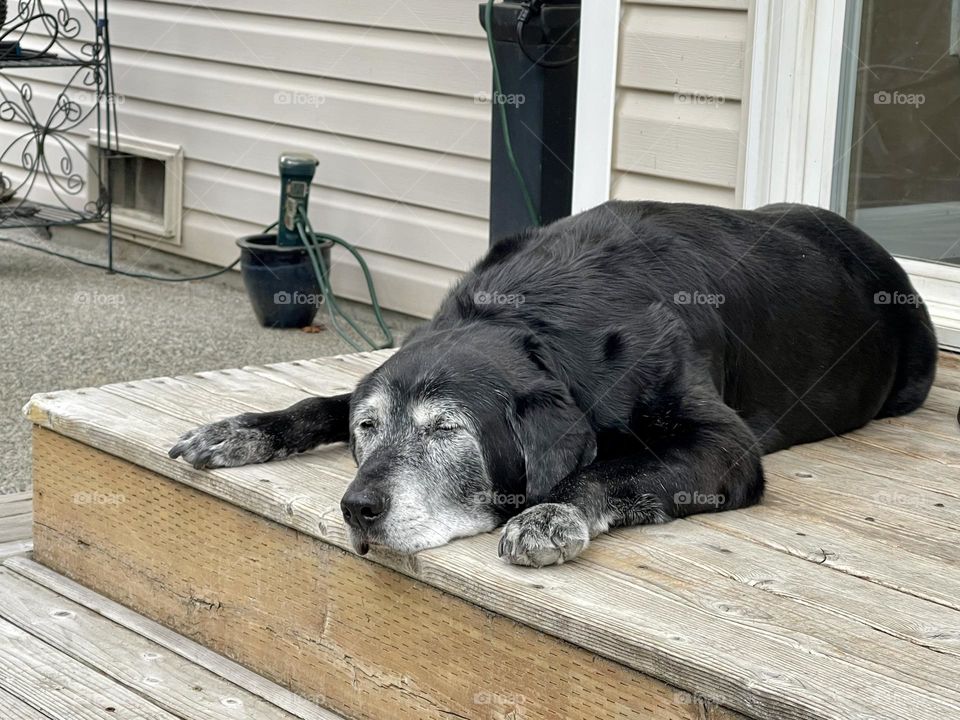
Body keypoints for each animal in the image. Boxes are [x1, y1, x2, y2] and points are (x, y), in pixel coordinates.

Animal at [171, 200, 936, 564]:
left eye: (447, 431)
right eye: (369, 428)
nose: (357, 508)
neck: (540, 315)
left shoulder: (724, 445)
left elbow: (612, 470)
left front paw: (548, 514)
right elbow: (320, 399)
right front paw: (239, 429)